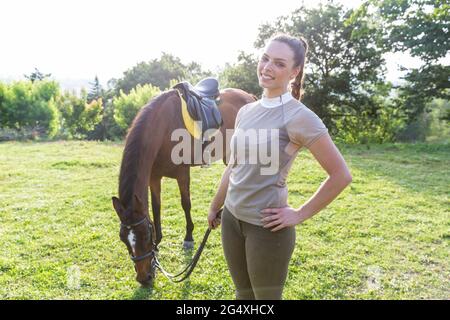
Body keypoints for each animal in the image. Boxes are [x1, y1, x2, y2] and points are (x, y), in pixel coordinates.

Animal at [111, 87, 256, 284]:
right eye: (123, 238)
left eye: (145, 234)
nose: (144, 277)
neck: (163, 127)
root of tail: (249, 96)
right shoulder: (154, 177)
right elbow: (156, 207)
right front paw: (159, 242)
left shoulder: (182, 174)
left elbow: (185, 204)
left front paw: (188, 237)